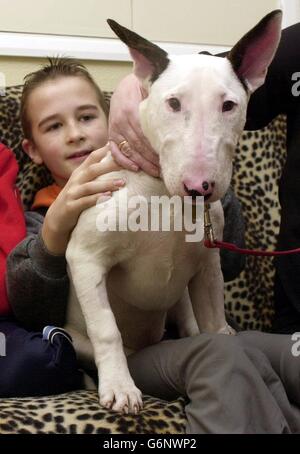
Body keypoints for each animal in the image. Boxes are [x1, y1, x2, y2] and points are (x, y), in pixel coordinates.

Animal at [64, 10, 282, 414]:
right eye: (174, 103)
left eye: (228, 105)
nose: (199, 187)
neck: (166, 199)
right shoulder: (85, 256)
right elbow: (106, 327)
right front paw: (120, 388)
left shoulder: (208, 268)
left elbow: (214, 324)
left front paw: (225, 340)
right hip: (75, 339)